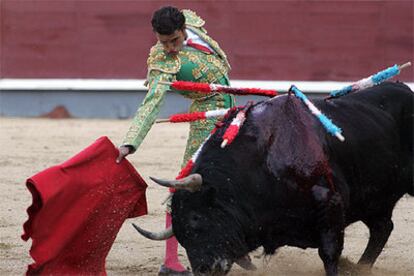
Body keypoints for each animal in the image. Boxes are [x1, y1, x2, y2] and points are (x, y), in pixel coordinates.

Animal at [142, 81, 410, 274]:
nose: (204, 269)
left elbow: (329, 253)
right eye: (180, 234)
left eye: (196, 218)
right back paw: (361, 267)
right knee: (382, 228)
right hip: (373, 201)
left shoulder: (330, 203)